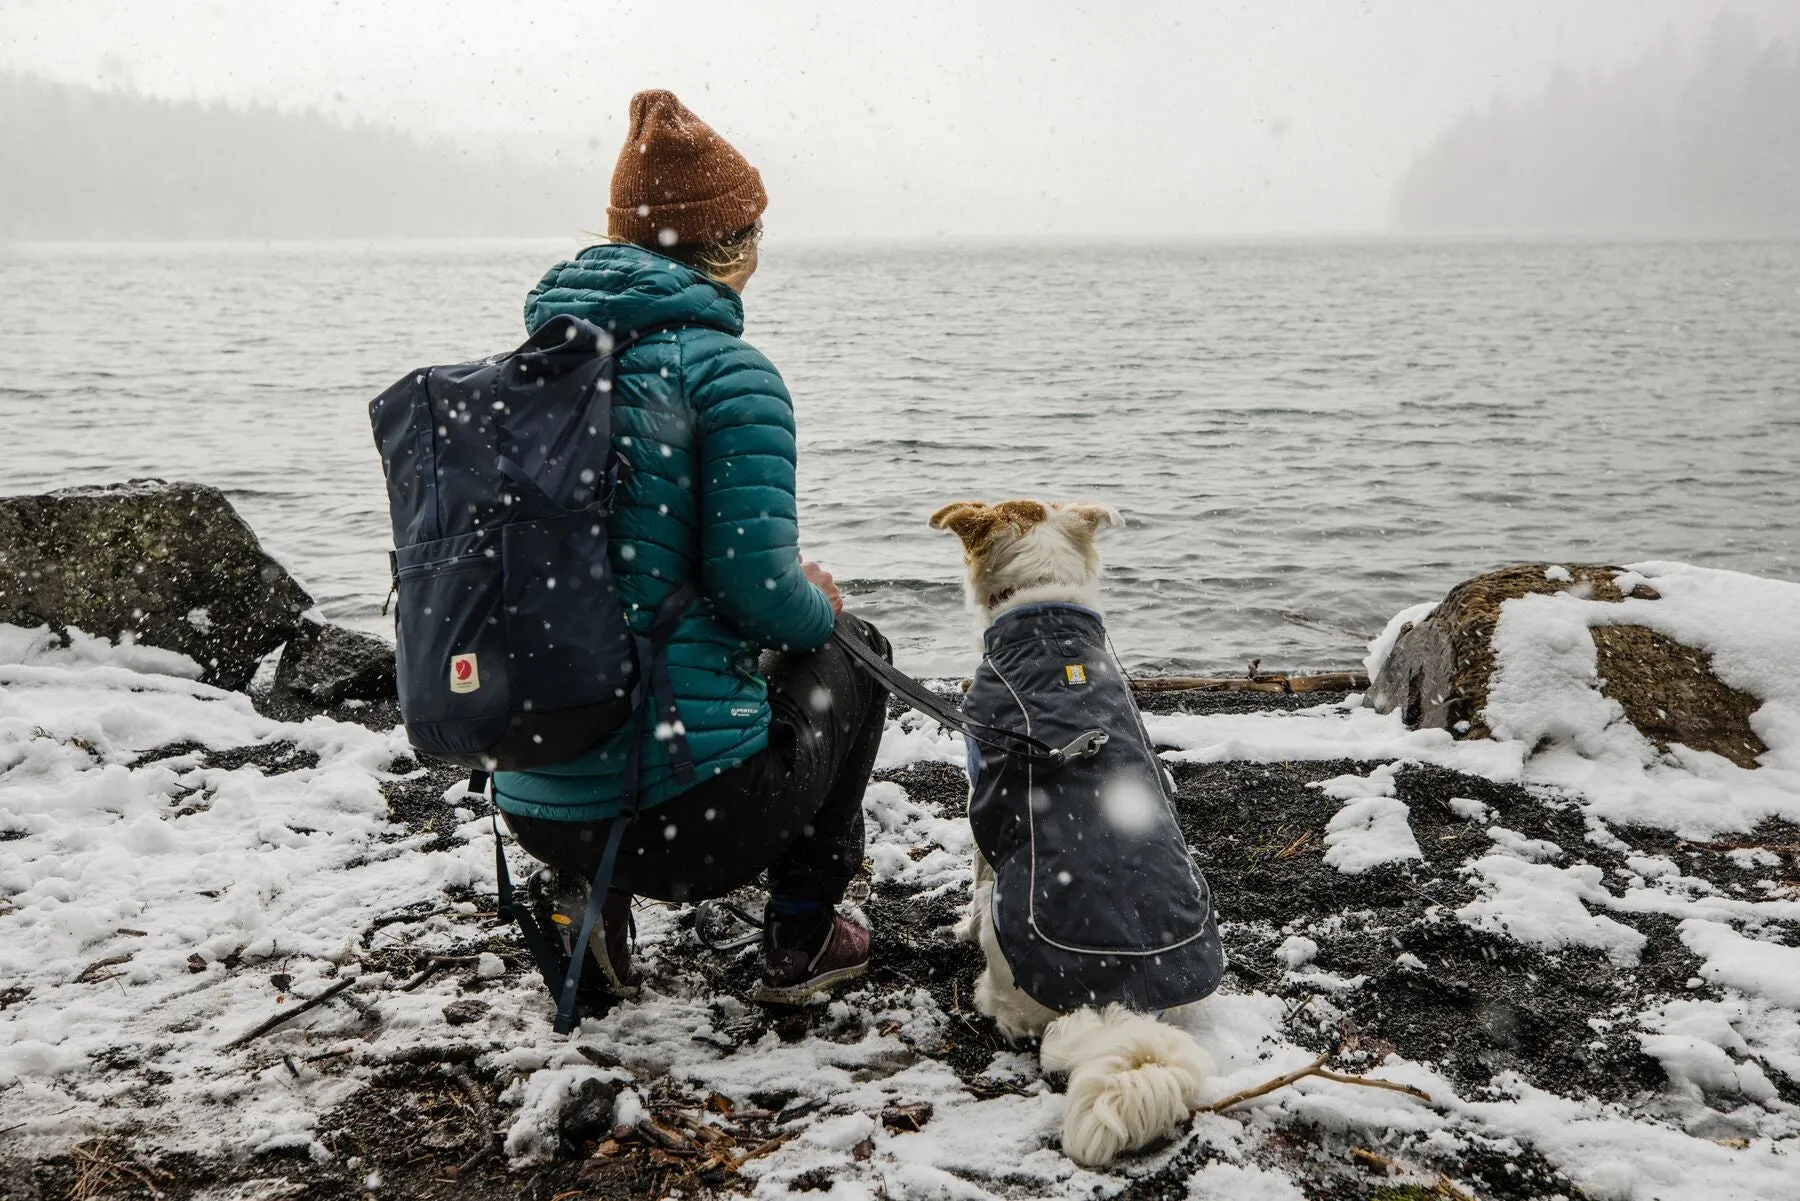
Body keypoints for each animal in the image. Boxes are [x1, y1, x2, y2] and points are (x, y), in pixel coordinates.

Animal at [928, 504, 1224, 1166]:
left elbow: (975, 866)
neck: (1045, 615)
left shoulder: (981, 793)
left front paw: (954, 927)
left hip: (1005, 925)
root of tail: (1120, 1003)